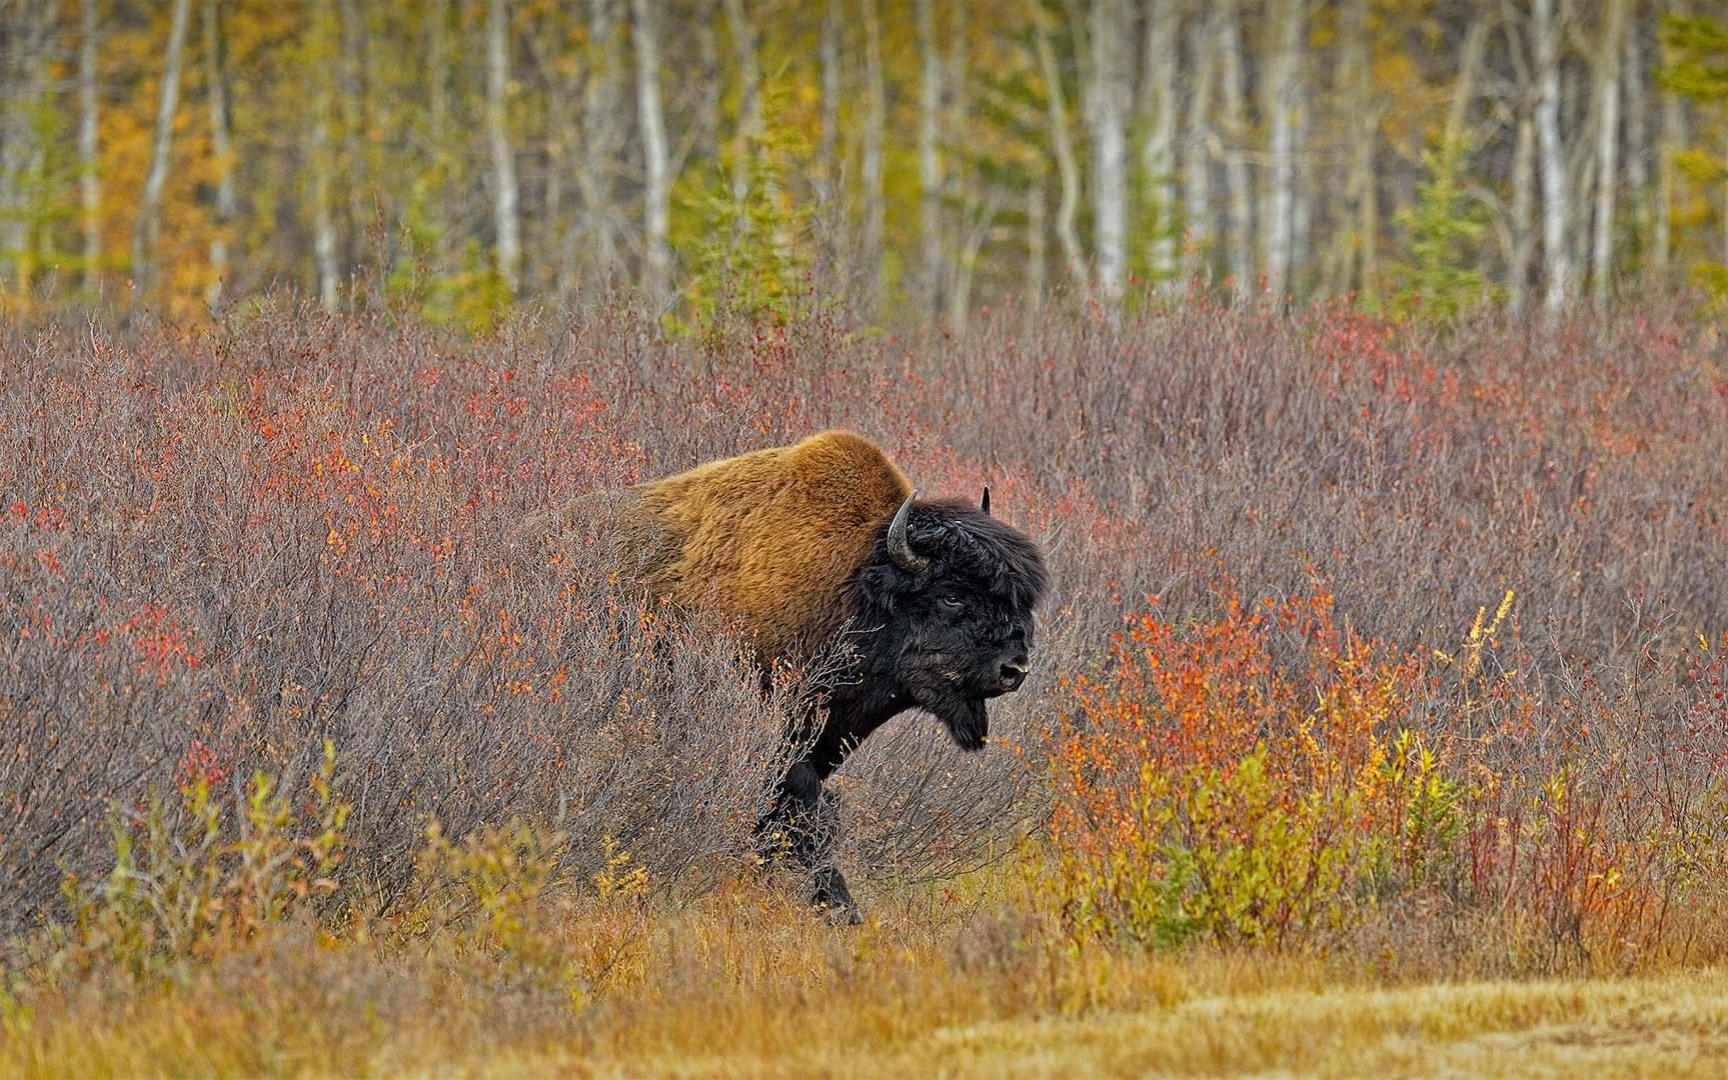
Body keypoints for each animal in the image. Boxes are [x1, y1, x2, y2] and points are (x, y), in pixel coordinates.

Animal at [528, 430, 1036, 919]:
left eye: (1019, 603)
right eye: (951, 596)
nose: (1014, 669)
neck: (854, 580)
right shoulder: (780, 737)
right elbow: (805, 816)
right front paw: (842, 909)